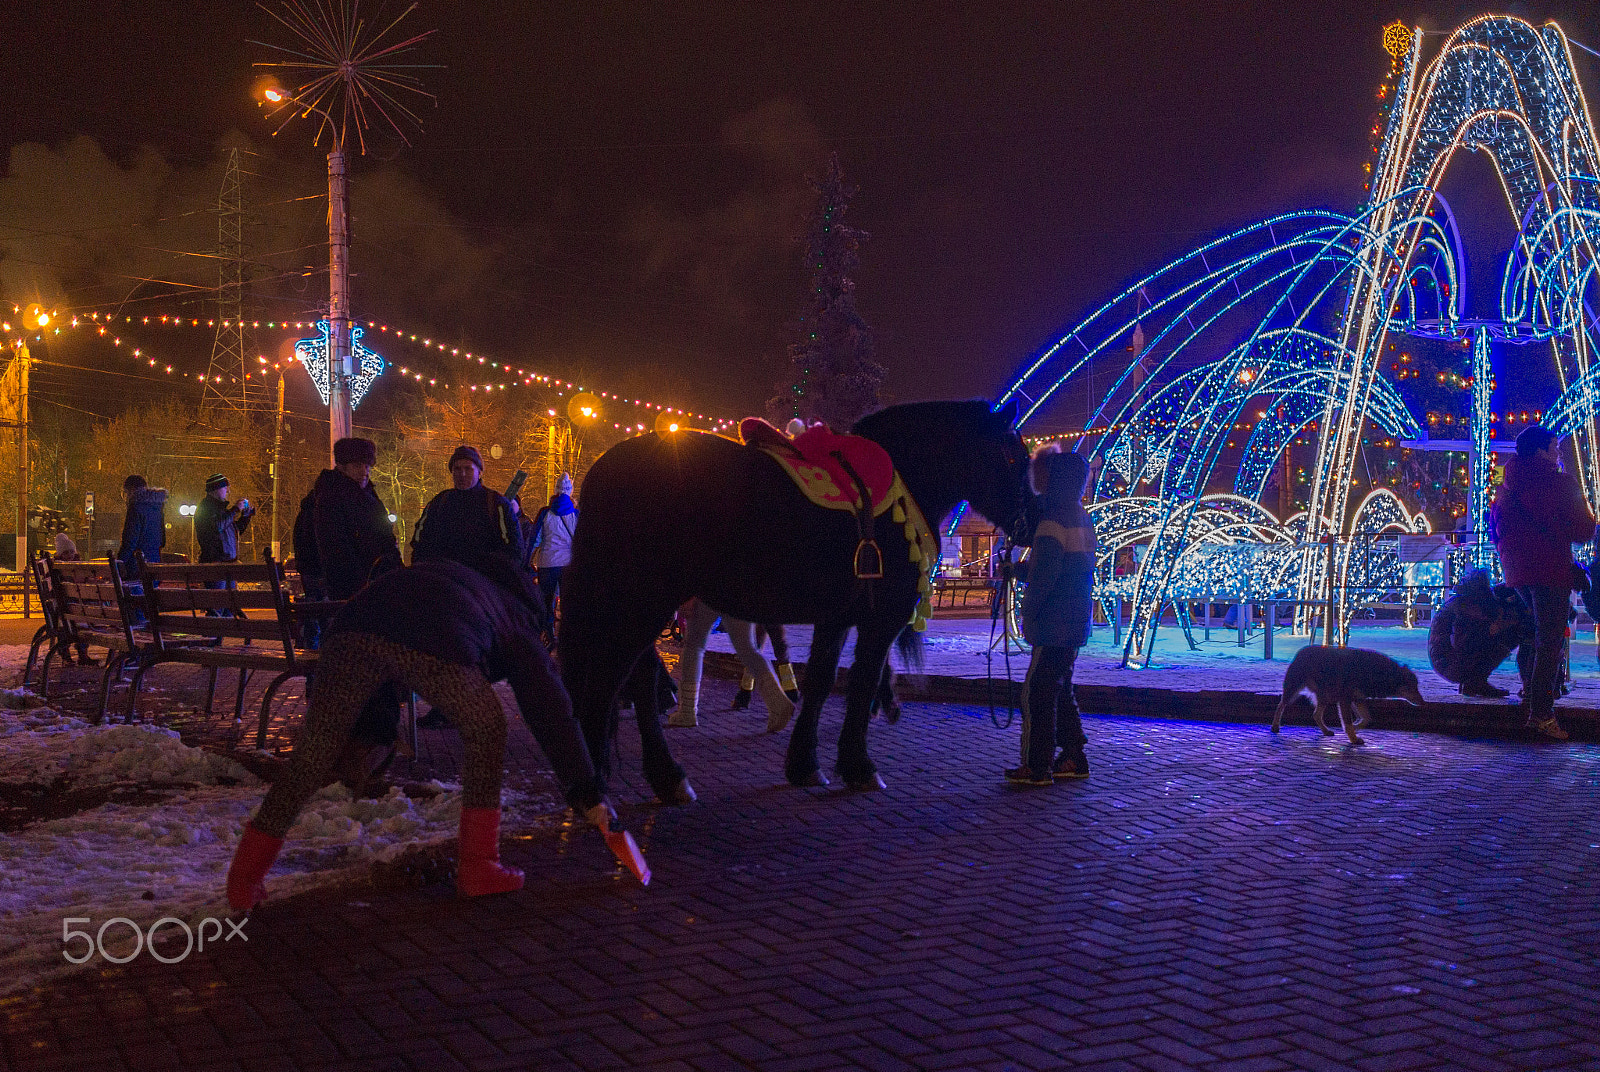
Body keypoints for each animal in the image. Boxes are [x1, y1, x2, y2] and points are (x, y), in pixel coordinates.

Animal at [563, 398, 1036, 793]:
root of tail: (605, 472)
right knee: (617, 679)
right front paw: (858, 765)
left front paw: (804, 763)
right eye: (1013, 455)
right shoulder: (879, 619)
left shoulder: (837, 616)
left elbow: (822, 682)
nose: (1031, 521)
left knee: (637, 678)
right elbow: (862, 681)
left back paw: (659, 777)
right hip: (643, 599)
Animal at [1273, 646, 1427, 748]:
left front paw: (1356, 727)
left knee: (1316, 714)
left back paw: (1326, 731)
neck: (1375, 672)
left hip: (1325, 697)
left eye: (1417, 687)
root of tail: (1301, 651)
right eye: (1412, 688)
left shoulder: (1358, 699)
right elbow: (1348, 722)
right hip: (1294, 692)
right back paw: (1275, 727)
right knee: (1281, 705)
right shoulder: (1345, 700)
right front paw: (1353, 738)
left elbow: (1366, 719)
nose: (1423, 703)